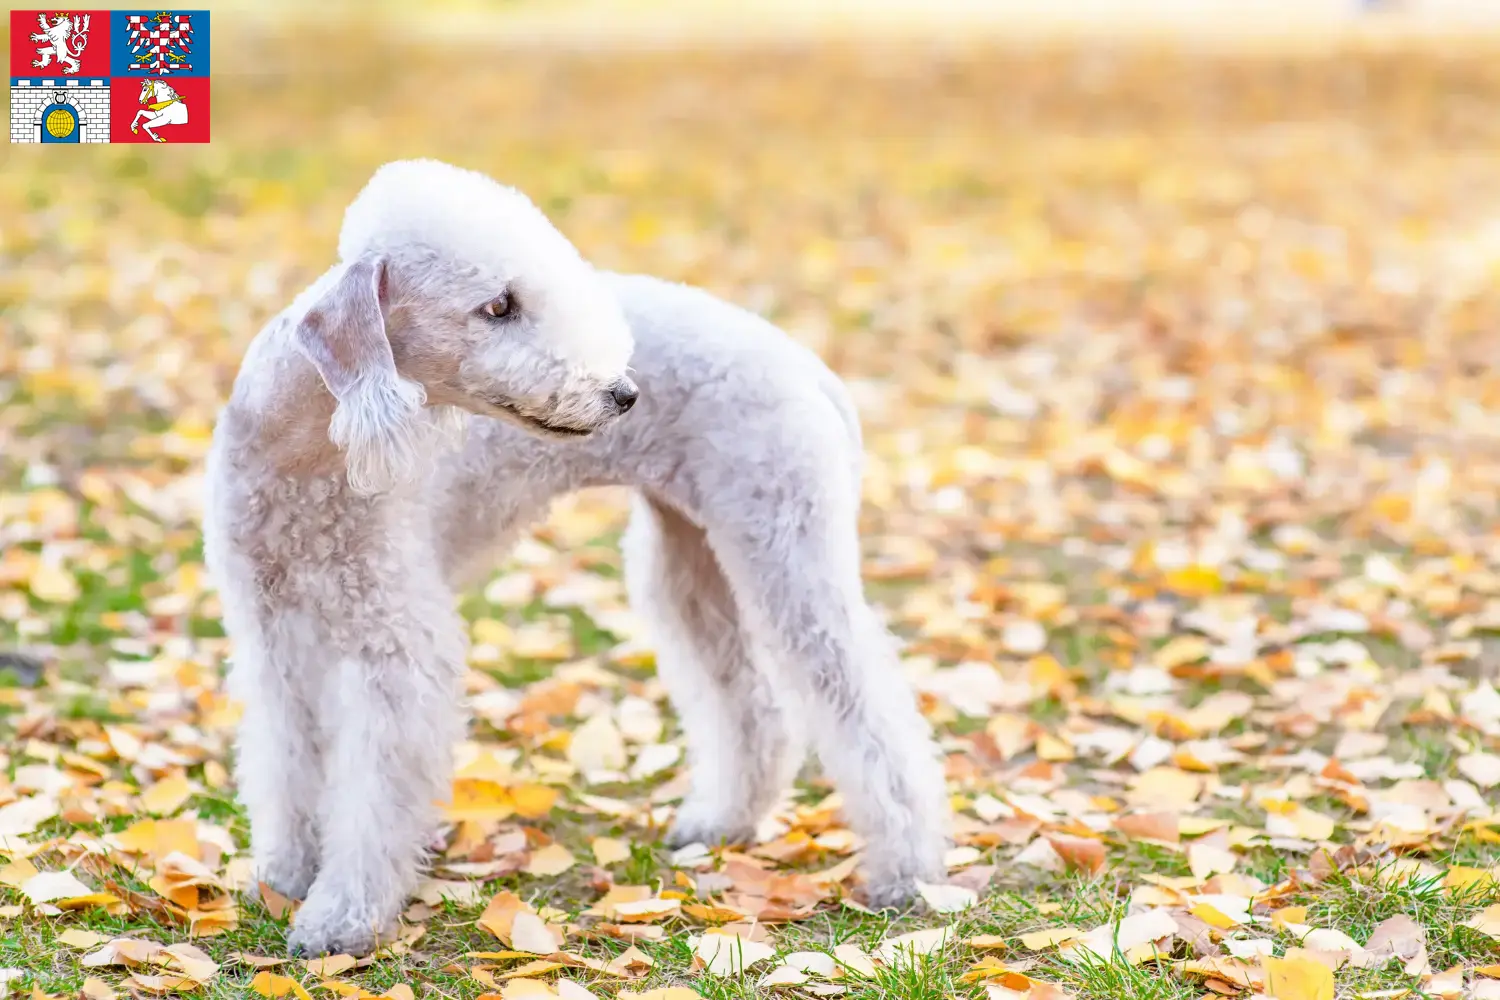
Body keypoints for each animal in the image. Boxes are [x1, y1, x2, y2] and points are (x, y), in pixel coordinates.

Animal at [204, 160, 942, 959]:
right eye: (498, 305)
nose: (622, 393)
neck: (307, 454)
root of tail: (805, 363)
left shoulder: (397, 642)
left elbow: (374, 789)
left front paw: (340, 916)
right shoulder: (272, 632)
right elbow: (285, 758)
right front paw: (284, 874)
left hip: (786, 541)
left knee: (865, 706)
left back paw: (910, 872)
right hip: (688, 559)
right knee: (752, 703)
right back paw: (722, 822)